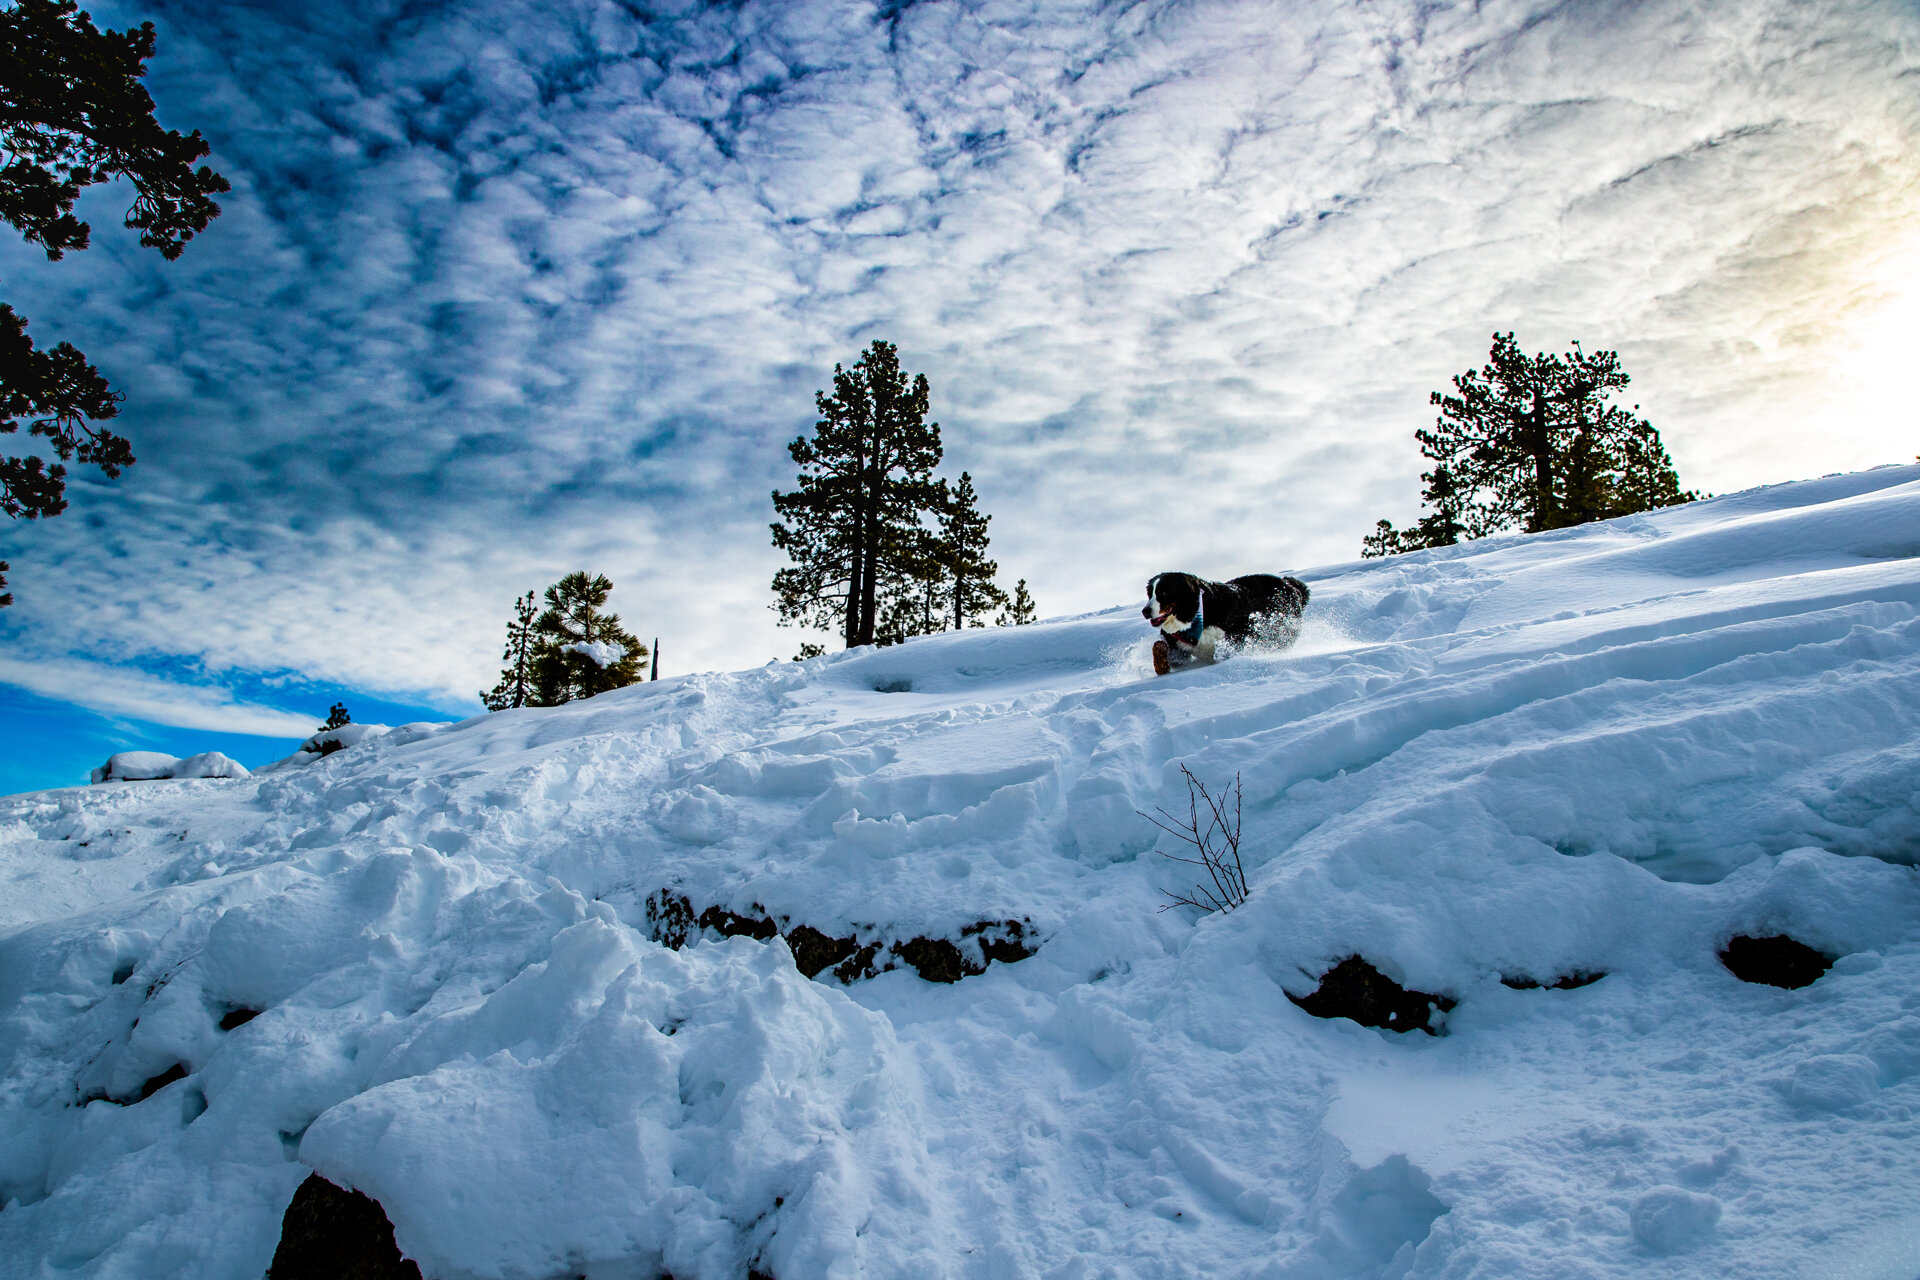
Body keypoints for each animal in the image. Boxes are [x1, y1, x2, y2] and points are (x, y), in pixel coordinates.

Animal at [1144, 571, 1313, 671]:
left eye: (1163, 593)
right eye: (1149, 594)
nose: (1145, 611)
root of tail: (1290, 585)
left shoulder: (1240, 633)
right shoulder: (1177, 643)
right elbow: (1163, 650)